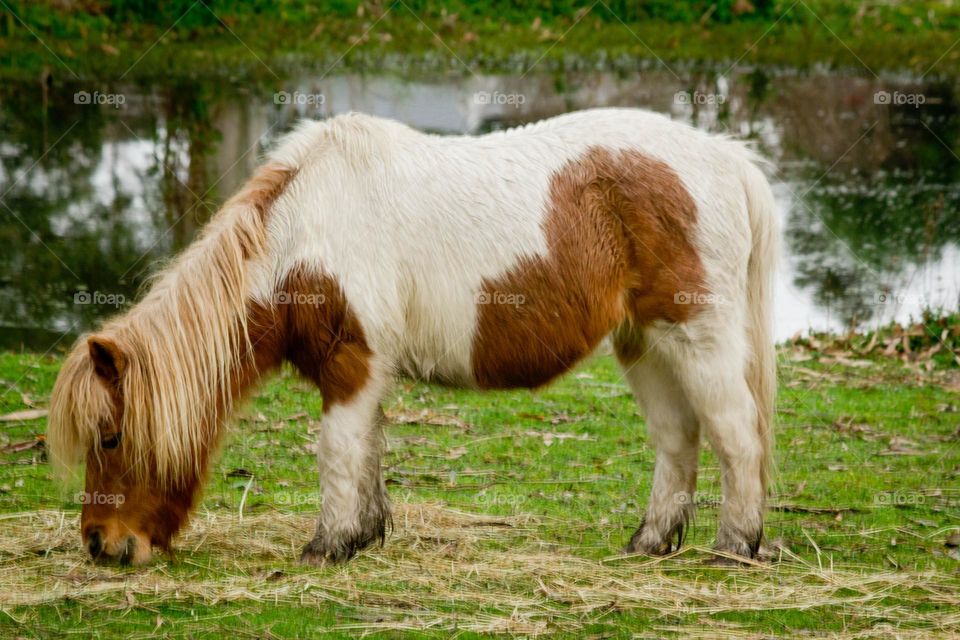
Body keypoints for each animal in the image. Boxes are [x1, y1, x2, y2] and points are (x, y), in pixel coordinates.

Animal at [48, 108, 778, 566]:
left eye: (110, 437)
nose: (102, 545)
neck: (299, 236)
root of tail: (728, 160)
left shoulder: (352, 364)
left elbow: (337, 452)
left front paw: (326, 547)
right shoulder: (366, 371)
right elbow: (367, 450)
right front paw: (361, 537)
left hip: (695, 337)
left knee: (735, 435)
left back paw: (734, 547)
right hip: (642, 343)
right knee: (678, 439)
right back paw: (649, 542)